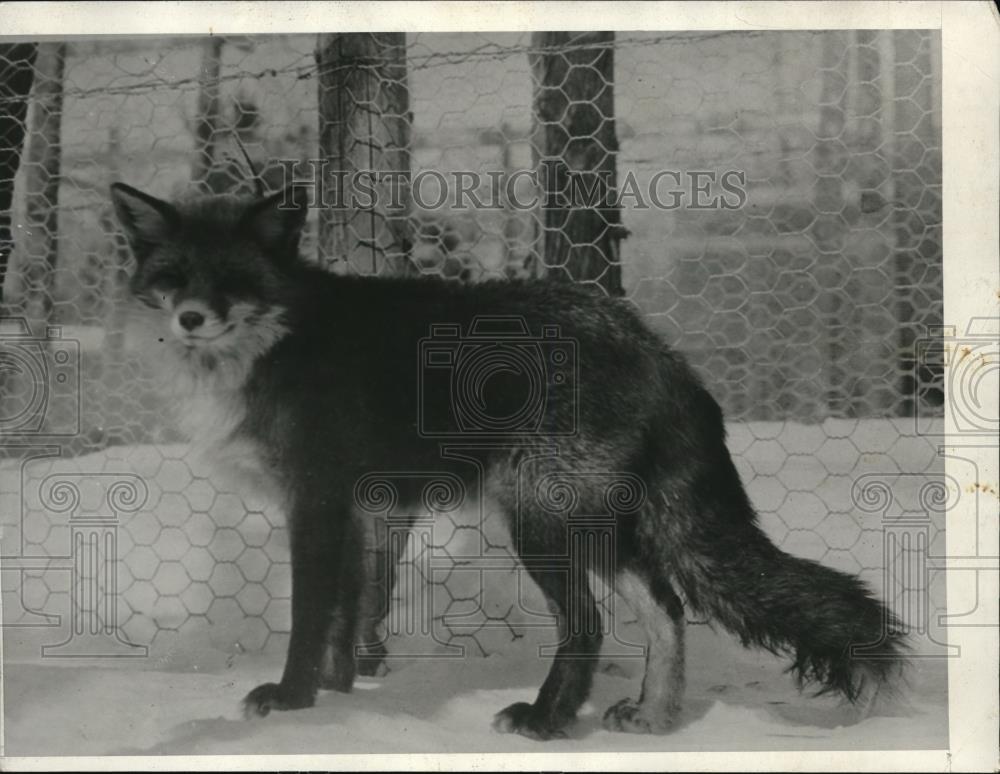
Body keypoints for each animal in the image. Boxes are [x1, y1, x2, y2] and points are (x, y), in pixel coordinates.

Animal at [110, 180, 906, 740]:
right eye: (175, 275)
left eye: (233, 281)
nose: (190, 318)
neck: (277, 339)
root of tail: (658, 350)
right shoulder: (353, 511)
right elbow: (345, 615)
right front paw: (334, 700)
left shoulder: (318, 502)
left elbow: (311, 616)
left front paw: (290, 701)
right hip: (596, 528)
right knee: (667, 612)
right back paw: (653, 717)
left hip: (538, 522)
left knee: (588, 624)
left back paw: (546, 721)